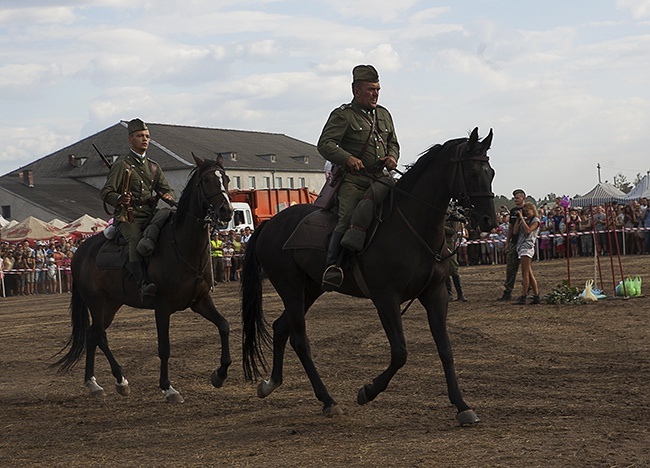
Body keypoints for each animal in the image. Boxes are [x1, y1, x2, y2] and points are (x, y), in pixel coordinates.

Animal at [53, 154, 233, 402]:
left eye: (226, 179)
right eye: (206, 180)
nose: (227, 211)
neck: (183, 245)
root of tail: (80, 251)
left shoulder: (200, 301)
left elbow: (224, 326)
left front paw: (220, 374)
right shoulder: (162, 307)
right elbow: (164, 347)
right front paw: (168, 387)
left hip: (111, 303)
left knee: (92, 334)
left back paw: (93, 383)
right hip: (96, 302)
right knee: (100, 336)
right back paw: (120, 379)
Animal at [243, 127, 496, 424]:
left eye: (490, 172)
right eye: (472, 172)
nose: (488, 221)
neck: (412, 226)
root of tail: (270, 224)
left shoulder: (435, 294)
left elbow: (445, 349)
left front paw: (462, 405)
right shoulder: (386, 298)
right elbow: (400, 353)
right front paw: (368, 391)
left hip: (311, 288)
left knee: (281, 328)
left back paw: (272, 383)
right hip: (291, 287)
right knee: (300, 340)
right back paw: (328, 400)